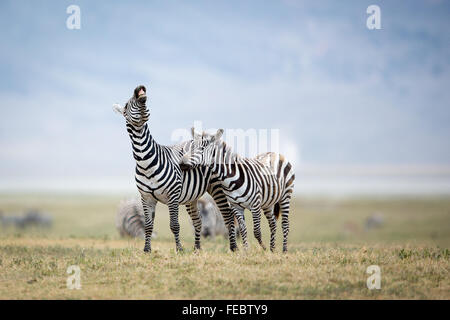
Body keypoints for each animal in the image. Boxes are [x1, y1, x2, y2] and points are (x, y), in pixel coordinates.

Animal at [112, 85, 239, 252]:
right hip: (192, 196)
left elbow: (174, 225)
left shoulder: (172, 196)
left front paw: (179, 249)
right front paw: (147, 250)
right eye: (127, 105)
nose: (140, 88)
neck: (145, 162)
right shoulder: (146, 197)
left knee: (228, 216)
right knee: (198, 221)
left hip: (218, 188)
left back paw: (233, 247)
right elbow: (148, 226)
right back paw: (197, 249)